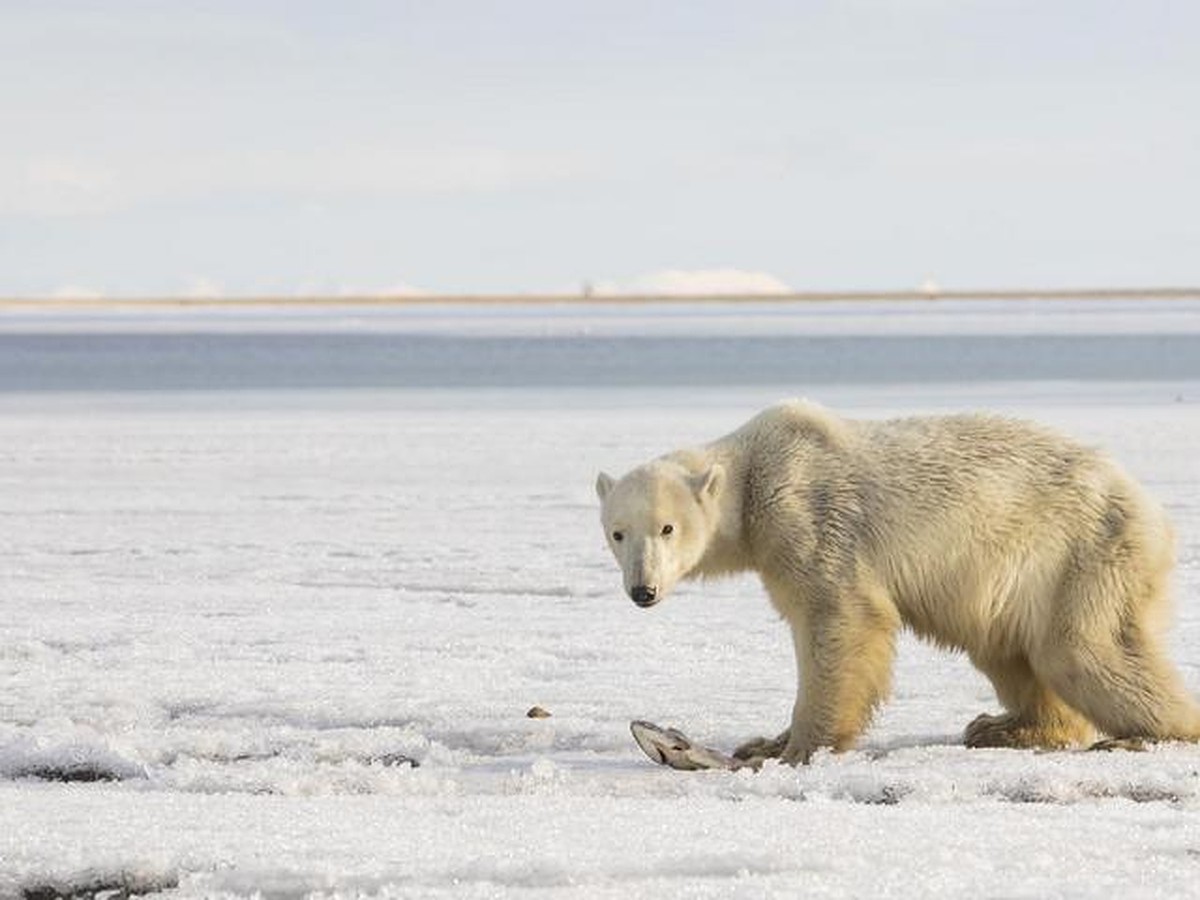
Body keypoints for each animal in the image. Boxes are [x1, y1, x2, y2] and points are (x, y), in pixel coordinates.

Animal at [597, 405, 1200, 763]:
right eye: (617, 532)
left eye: (667, 528)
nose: (642, 590)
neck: (754, 472)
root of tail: (1152, 511)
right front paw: (763, 741)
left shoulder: (810, 517)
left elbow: (841, 619)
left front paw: (791, 750)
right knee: (1008, 648)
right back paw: (1004, 726)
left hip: (1080, 550)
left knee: (1082, 650)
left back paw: (1145, 733)